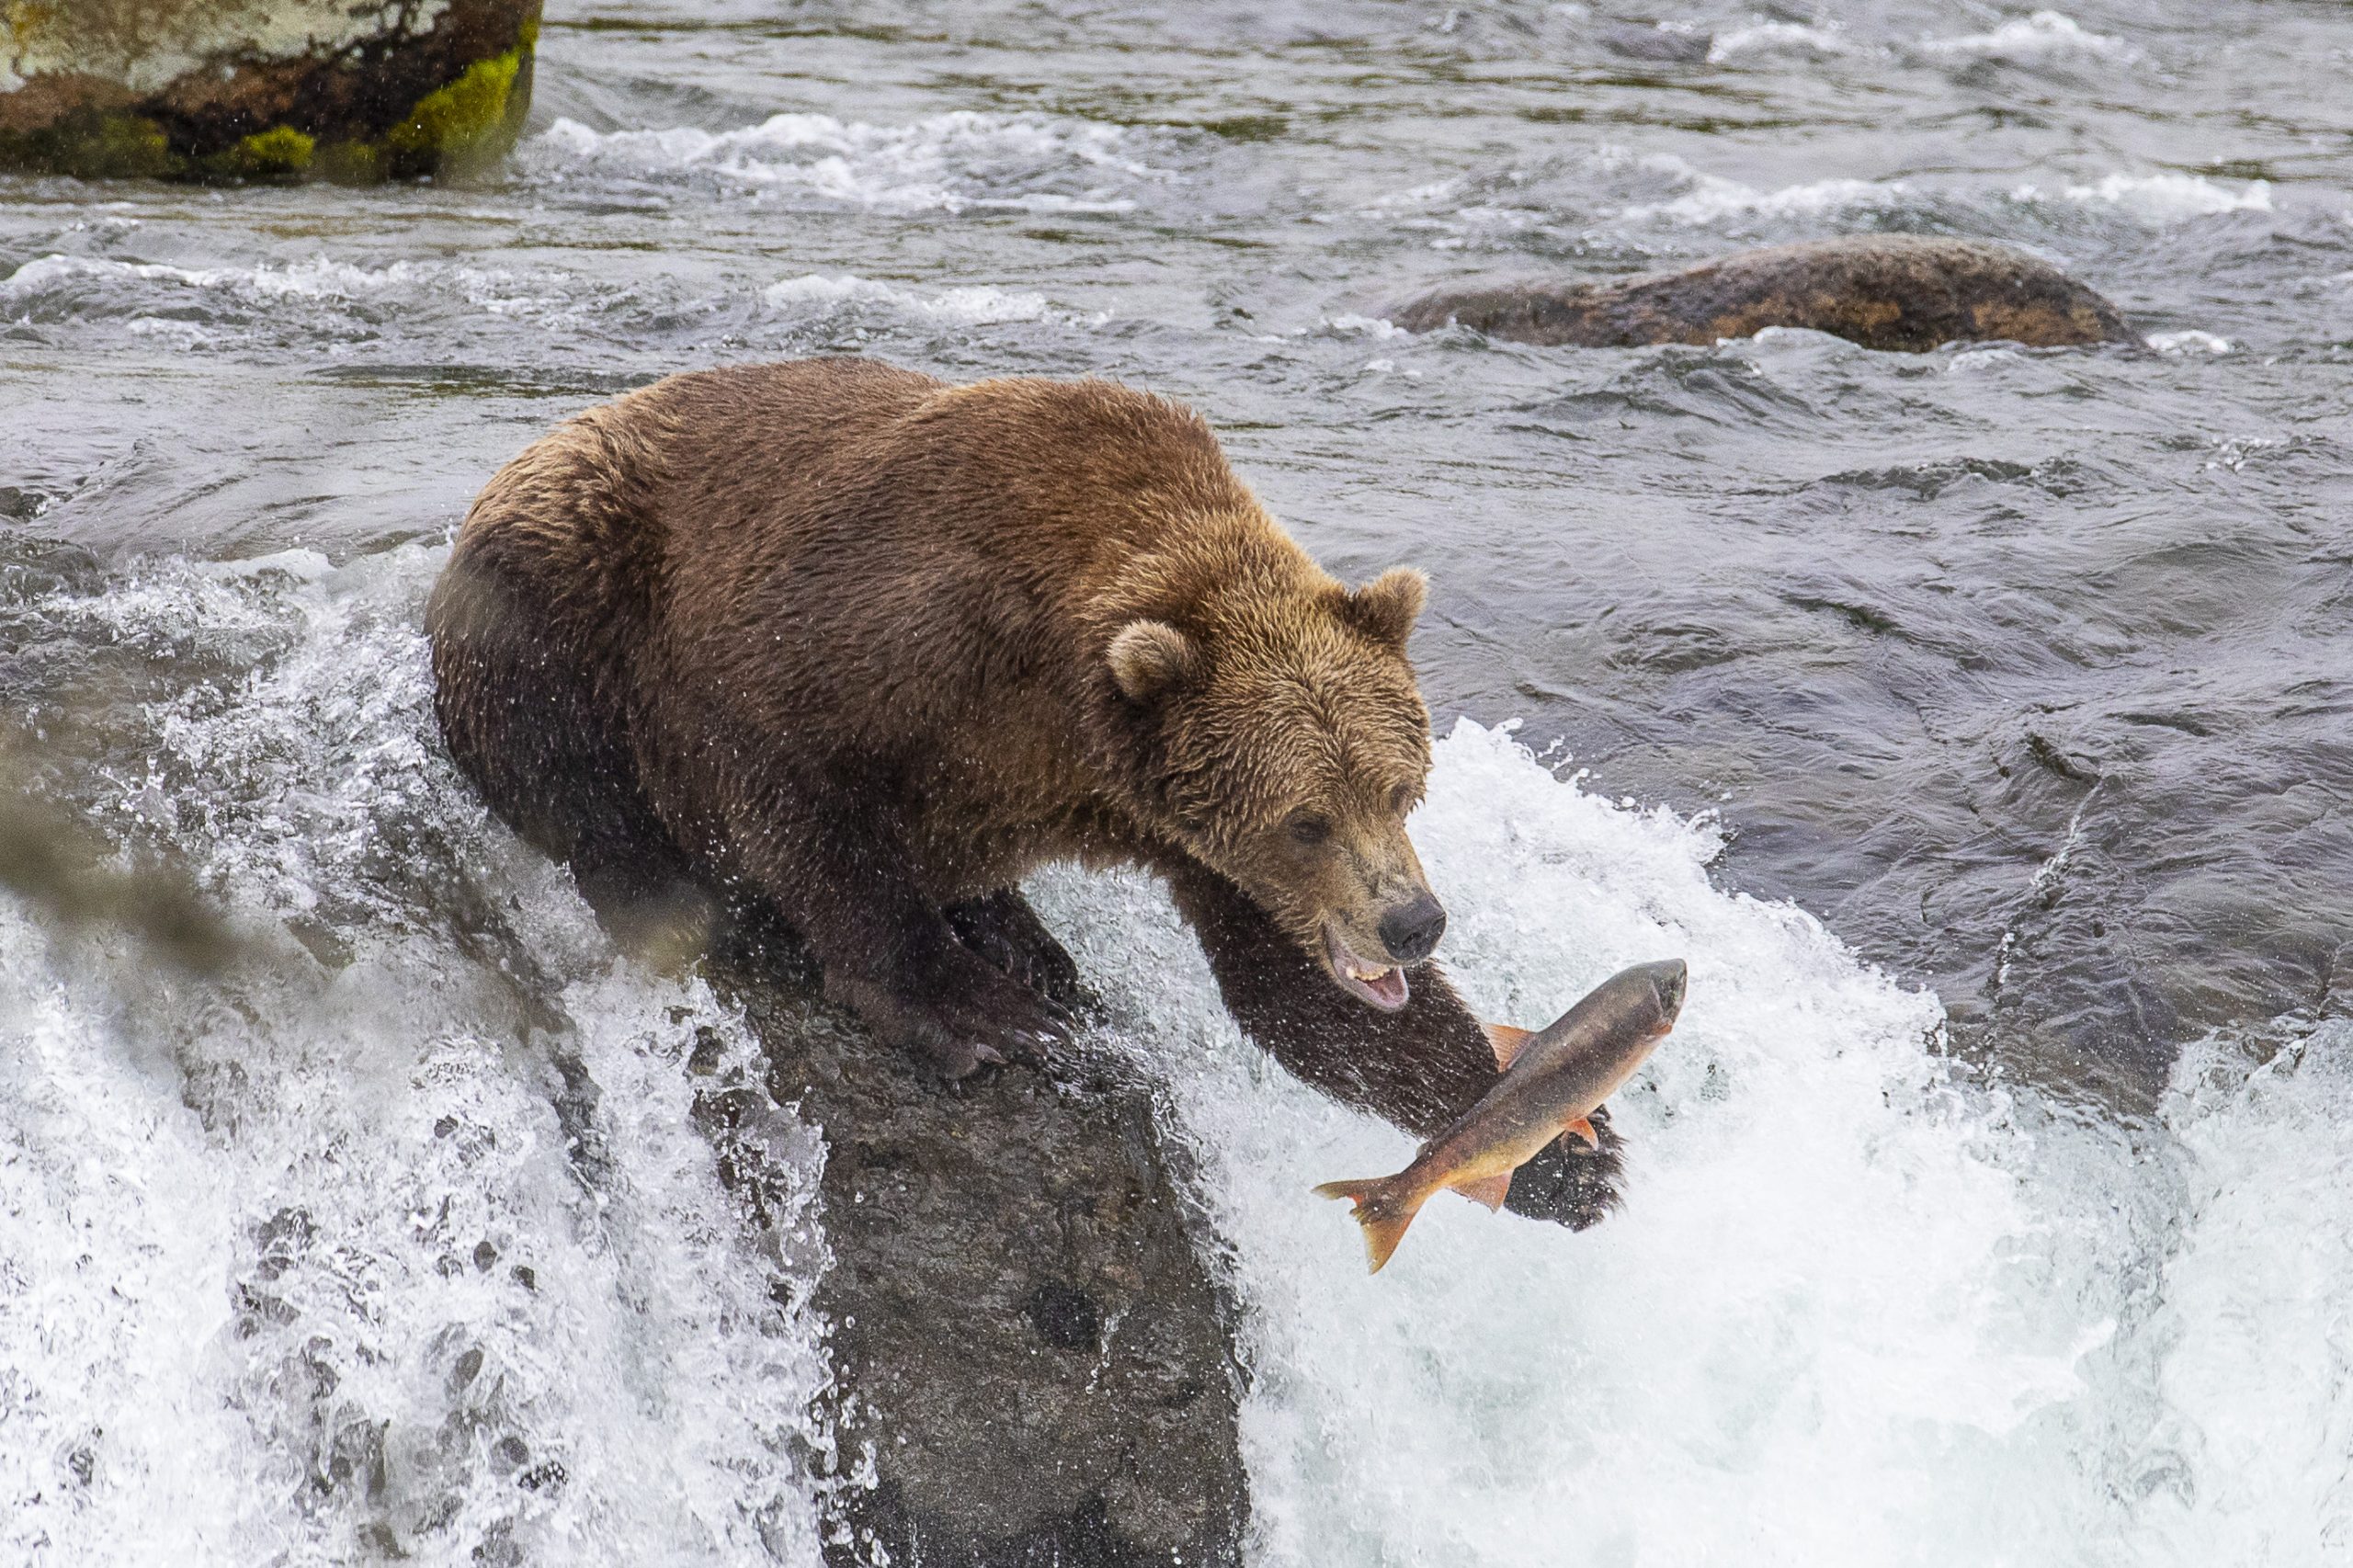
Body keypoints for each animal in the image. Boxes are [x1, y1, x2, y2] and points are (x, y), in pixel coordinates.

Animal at [427, 353, 1619, 1224]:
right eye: (1306, 818)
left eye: (1401, 786)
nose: (1412, 922)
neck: (1058, 709)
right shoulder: (871, 633)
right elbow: (793, 792)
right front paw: (979, 1011)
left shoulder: (1175, 815)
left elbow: (1296, 991)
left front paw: (1566, 1152)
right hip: (562, 577)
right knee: (561, 752)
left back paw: (1024, 935)